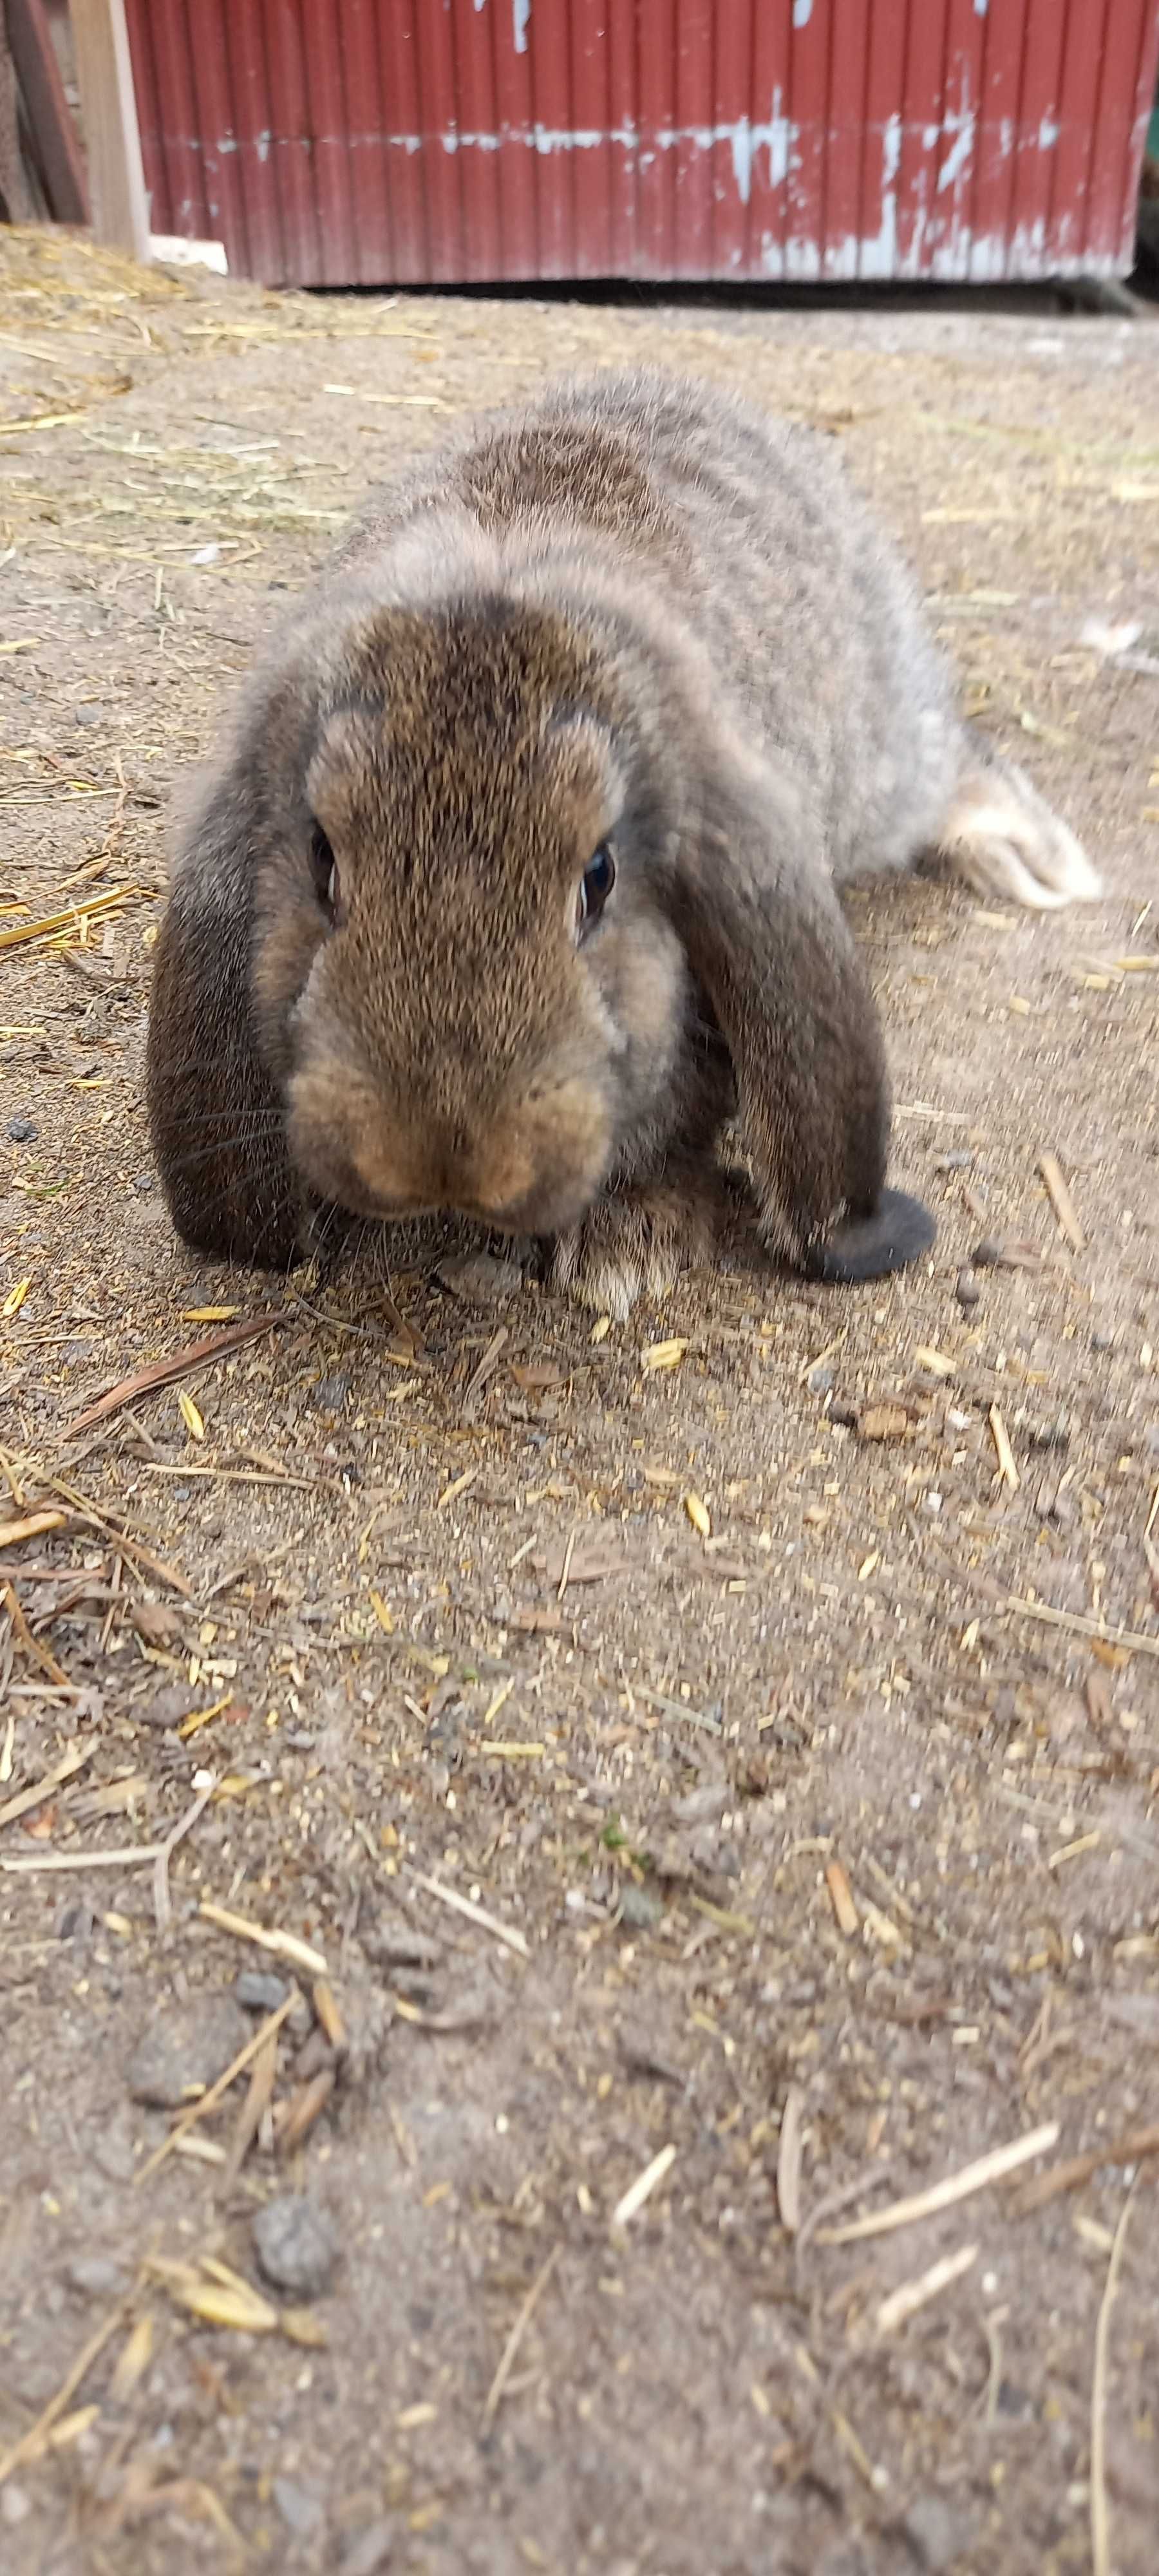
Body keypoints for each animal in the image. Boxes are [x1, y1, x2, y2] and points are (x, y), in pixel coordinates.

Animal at [149, 371, 1102, 1319]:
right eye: (322, 857)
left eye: (599, 877)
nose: (445, 1161)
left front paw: (624, 1248)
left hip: (885, 760)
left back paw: (1037, 860)